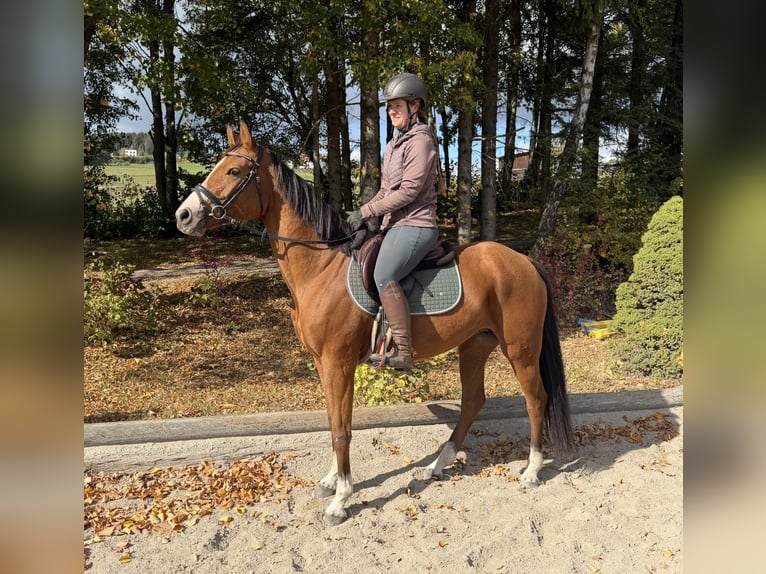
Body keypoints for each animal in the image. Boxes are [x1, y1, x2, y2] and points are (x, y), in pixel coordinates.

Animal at [176, 120, 573, 525]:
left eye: (234, 171)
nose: (184, 215)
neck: (323, 268)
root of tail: (524, 262)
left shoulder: (338, 363)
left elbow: (342, 429)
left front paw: (341, 499)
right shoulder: (324, 364)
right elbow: (335, 421)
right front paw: (331, 482)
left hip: (521, 350)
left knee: (536, 399)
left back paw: (532, 470)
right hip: (475, 345)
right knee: (474, 401)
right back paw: (436, 466)